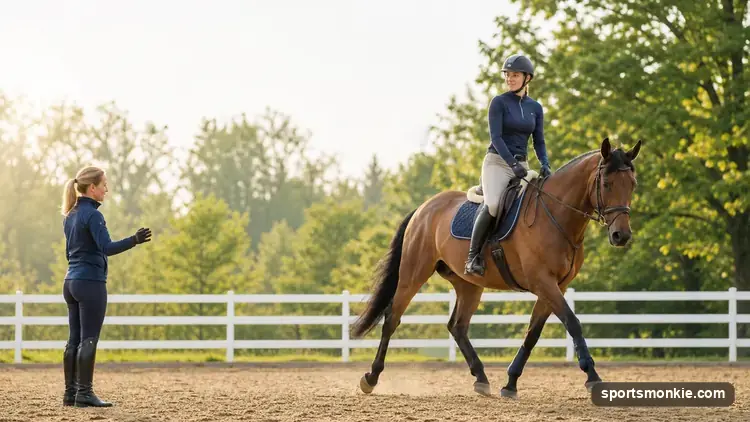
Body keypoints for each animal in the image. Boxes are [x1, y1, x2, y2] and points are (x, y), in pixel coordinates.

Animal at [350, 137, 641, 398]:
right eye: (607, 183)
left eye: (632, 185)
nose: (621, 236)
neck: (556, 215)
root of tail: (424, 208)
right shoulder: (543, 282)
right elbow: (573, 322)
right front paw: (592, 376)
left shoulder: (554, 286)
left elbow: (532, 334)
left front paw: (510, 383)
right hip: (414, 273)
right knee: (392, 318)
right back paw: (371, 377)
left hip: (468, 284)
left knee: (457, 326)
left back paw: (481, 378)